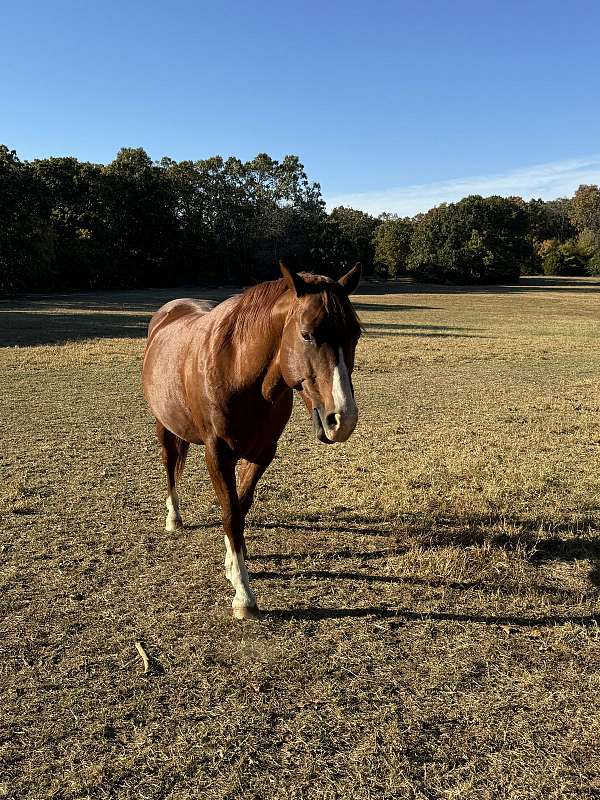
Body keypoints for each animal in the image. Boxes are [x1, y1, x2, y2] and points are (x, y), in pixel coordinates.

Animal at [142, 262, 360, 620]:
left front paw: (234, 564)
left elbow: (241, 507)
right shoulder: (218, 453)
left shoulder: (262, 453)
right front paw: (243, 595)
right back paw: (174, 517)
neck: (238, 370)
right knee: (170, 465)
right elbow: (230, 513)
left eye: (355, 334)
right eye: (307, 334)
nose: (343, 419)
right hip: (165, 426)